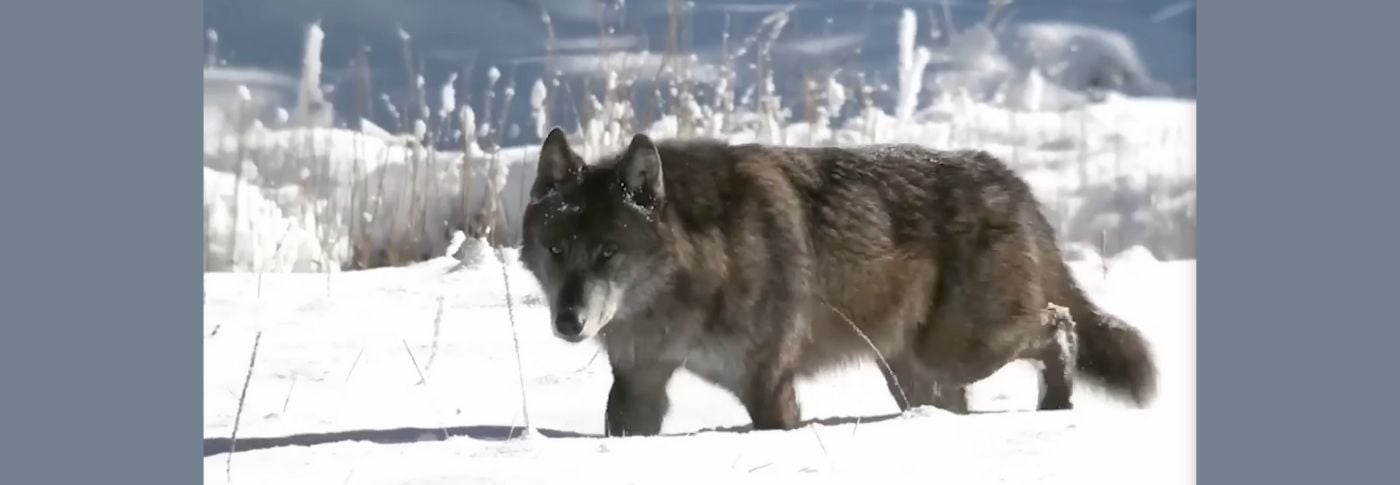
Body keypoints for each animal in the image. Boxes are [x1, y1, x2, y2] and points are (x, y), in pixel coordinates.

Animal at [518, 127, 1157, 437]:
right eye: (556, 250)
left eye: (608, 252)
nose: (568, 322)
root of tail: (1010, 180)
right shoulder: (638, 384)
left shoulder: (767, 387)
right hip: (916, 374)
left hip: (957, 350)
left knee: (1062, 322)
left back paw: (1057, 406)